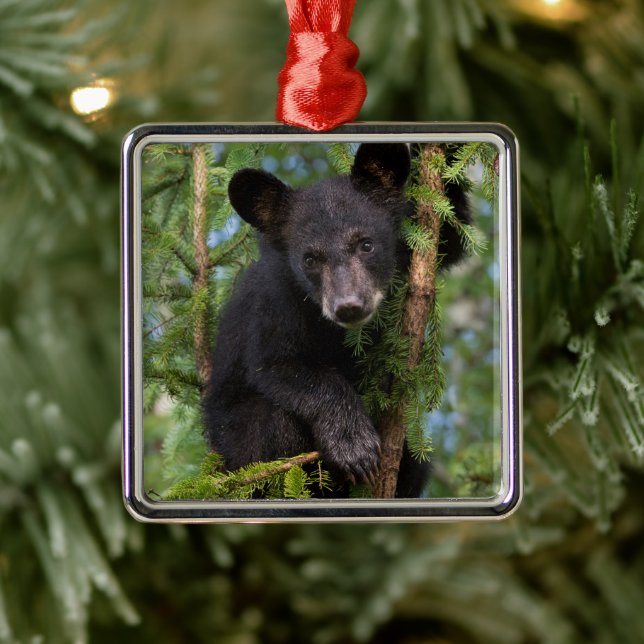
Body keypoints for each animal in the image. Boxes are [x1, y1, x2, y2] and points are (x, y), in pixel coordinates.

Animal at [202, 143, 469, 497]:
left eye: (366, 244)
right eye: (309, 259)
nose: (349, 306)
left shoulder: (411, 248)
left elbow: (450, 233)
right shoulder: (274, 303)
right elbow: (279, 365)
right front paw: (353, 445)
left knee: (416, 465)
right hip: (234, 443)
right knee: (270, 426)